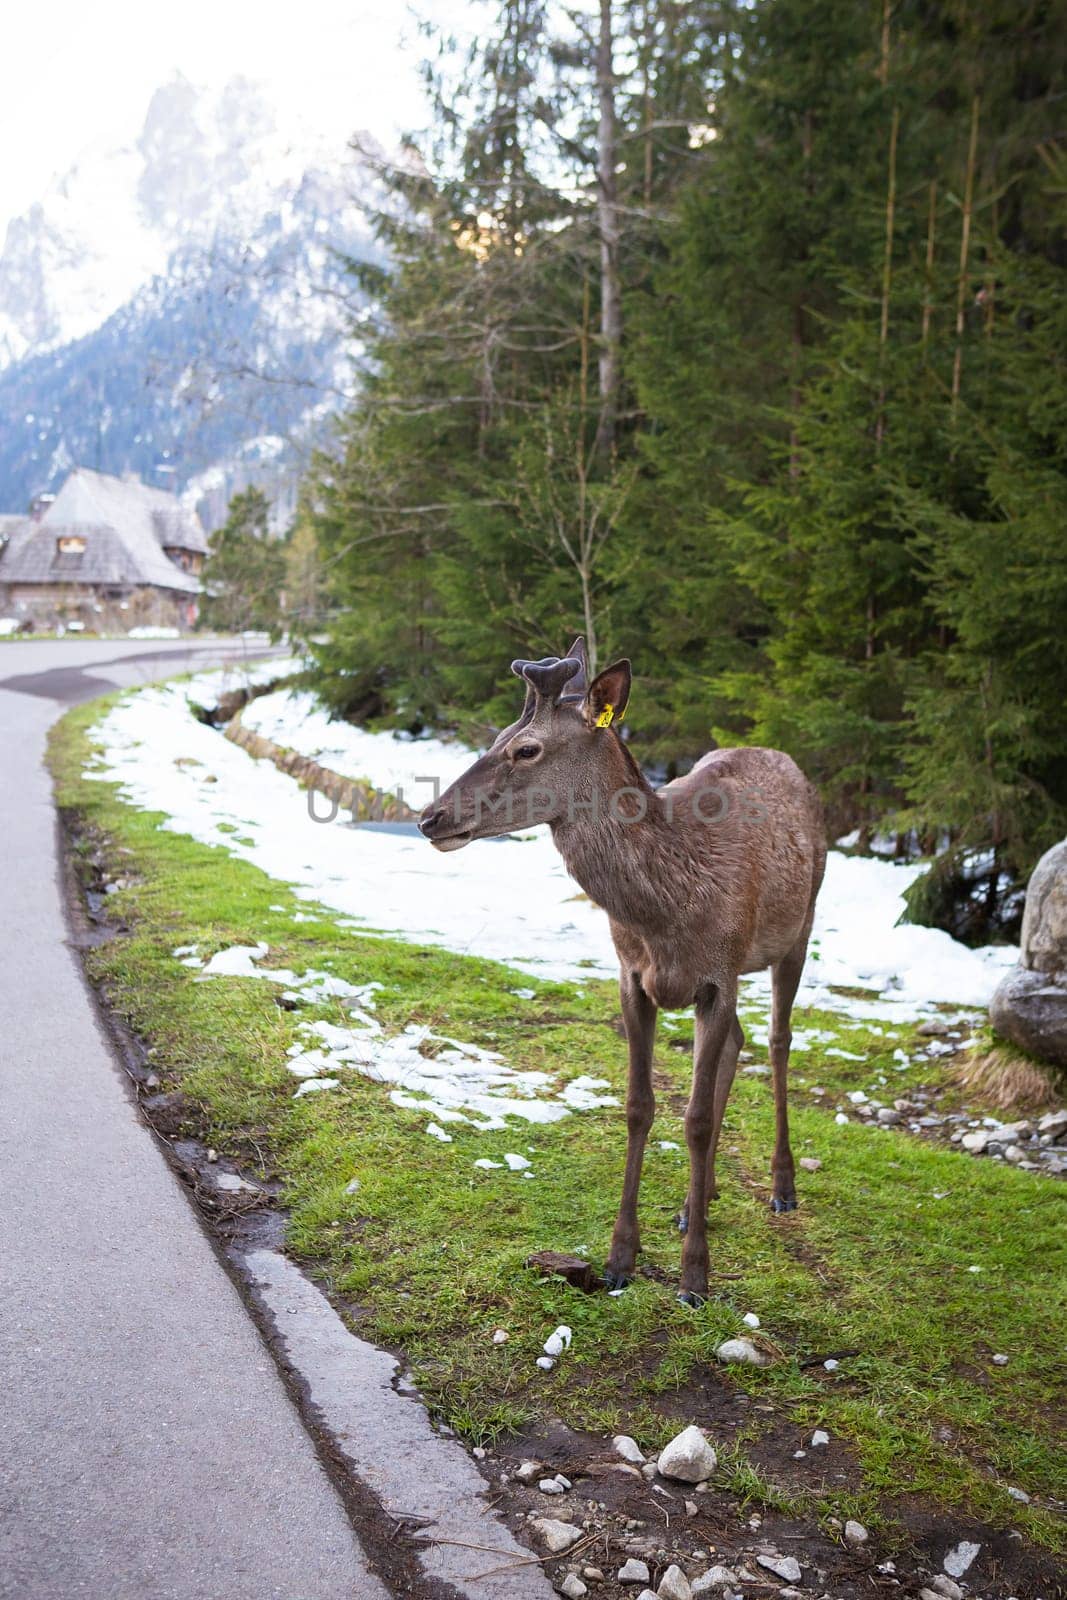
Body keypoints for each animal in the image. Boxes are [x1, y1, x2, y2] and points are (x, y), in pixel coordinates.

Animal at [415, 636, 825, 1299]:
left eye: (526, 748)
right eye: (500, 733)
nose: (431, 817)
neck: (668, 911)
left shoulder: (719, 977)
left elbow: (696, 1119)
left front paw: (695, 1276)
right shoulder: (632, 977)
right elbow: (639, 1107)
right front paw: (619, 1260)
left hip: (799, 928)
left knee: (778, 1039)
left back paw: (782, 1186)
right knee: (739, 1043)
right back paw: (697, 1199)